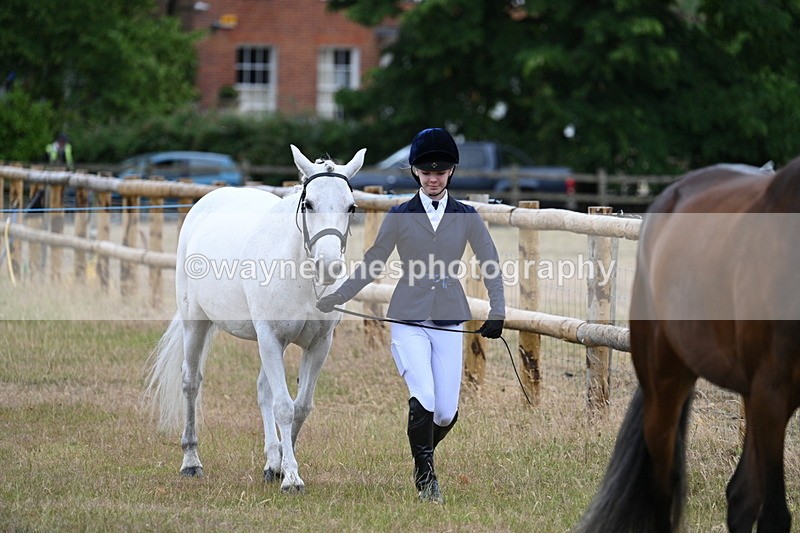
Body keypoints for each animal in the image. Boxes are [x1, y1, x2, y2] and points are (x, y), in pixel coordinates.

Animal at [147, 145, 365, 493]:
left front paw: (282, 466)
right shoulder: (270, 338)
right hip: (197, 322)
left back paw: (271, 461)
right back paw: (191, 462)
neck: (299, 272)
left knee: (264, 391)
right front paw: (291, 478)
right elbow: (284, 408)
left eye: (352, 207)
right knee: (191, 383)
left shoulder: (318, 345)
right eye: (309, 204)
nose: (328, 264)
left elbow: (300, 407)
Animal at [576, 157, 800, 532]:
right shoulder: (773, 390)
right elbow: (775, 516)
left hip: (753, 397)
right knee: (662, 486)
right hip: (666, 387)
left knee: (741, 496)